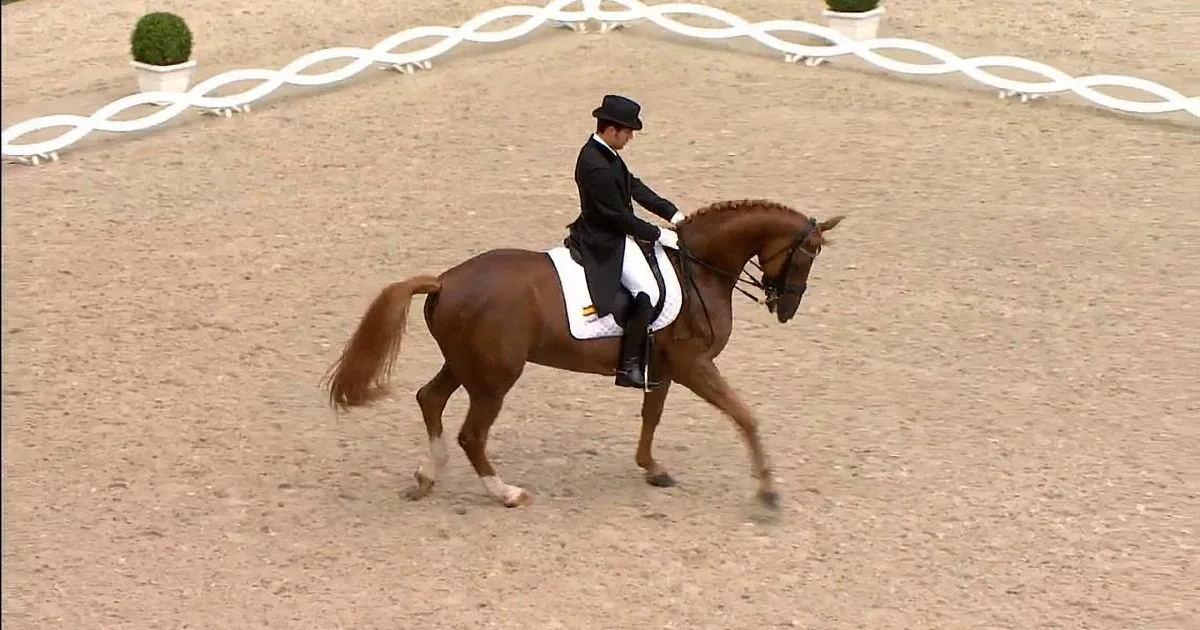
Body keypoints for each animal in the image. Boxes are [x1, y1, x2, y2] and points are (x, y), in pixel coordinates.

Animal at [322, 198, 843, 510]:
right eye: (808, 253)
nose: (787, 309)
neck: (699, 269)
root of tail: (445, 281)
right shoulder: (696, 366)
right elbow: (745, 416)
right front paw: (768, 491)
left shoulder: (663, 368)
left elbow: (651, 415)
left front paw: (652, 468)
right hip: (494, 379)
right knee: (471, 434)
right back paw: (506, 493)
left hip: (466, 366)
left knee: (430, 399)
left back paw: (427, 475)